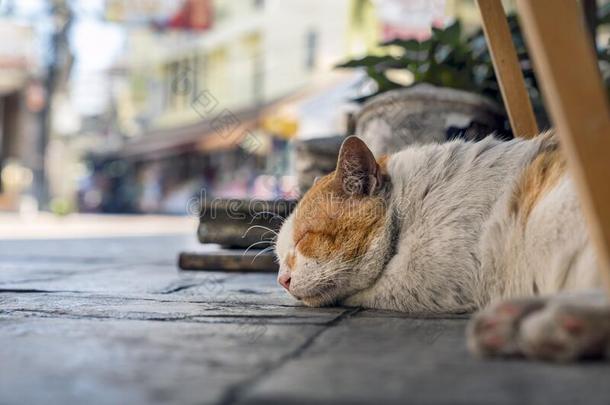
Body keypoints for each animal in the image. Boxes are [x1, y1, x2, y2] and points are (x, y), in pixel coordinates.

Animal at [276, 134, 608, 362]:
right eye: (279, 258)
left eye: (305, 238)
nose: (282, 280)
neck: (409, 209)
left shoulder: (428, 283)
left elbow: (369, 290)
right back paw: (513, 322)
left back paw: (556, 325)